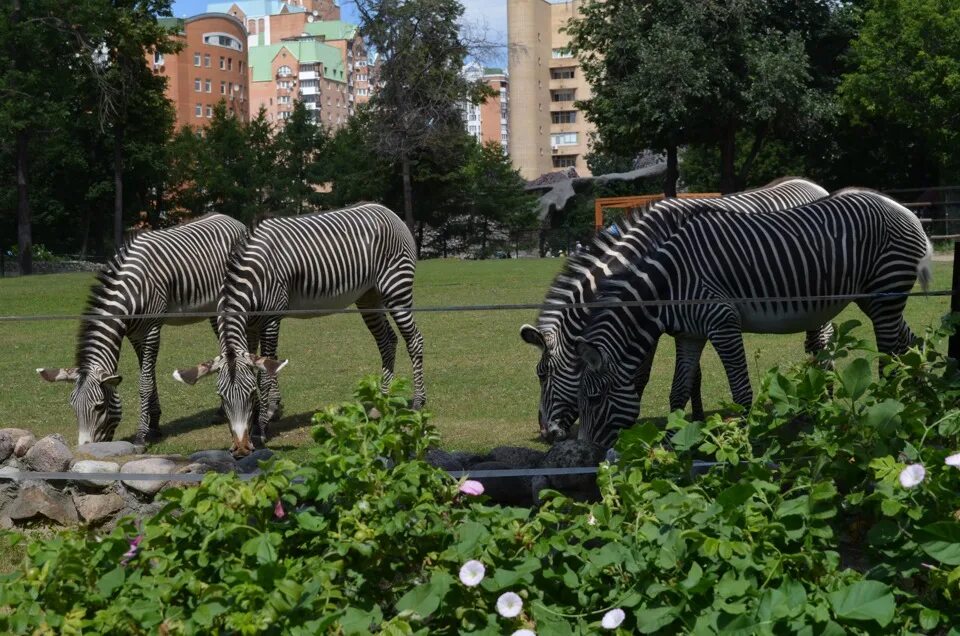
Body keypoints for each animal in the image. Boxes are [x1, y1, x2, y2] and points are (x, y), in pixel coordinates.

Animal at [37, 214, 248, 448]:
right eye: (73, 407)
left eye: (99, 407)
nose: (84, 450)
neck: (130, 292)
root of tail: (231, 219)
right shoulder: (136, 336)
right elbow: (151, 378)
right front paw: (154, 426)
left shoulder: (151, 331)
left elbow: (145, 383)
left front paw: (141, 436)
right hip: (211, 308)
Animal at [173, 201, 428, 454]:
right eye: (221, 396)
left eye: (250, 393)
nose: (242, 450)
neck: (252, 278)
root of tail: (387, 210)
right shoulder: (251, 327)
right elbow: (259, 366)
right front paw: (262, 417)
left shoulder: (271, 320)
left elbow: (265, 374)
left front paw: (260, 428)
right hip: (369, 296)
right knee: (387, 341)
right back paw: (380, 402)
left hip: (396, 288)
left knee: (414, 340)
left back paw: (418, 402)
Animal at [520, 175, 828, 442]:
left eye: (542, 373)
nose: (546, 433)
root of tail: (812, 184)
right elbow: (691, 376)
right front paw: (695, 418)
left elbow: (642, 375)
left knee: (820, 342)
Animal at [572, 189, 932, 448]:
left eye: (593, 398)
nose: (586, 454)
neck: (669, 284)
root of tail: (904, 209)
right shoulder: (690, 334)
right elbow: (678, 391)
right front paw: (673, 444)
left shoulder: (723, 322)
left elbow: (741, 392)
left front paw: (744, 442)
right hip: (875, 299)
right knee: (909, 345)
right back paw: (924, 400)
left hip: (885, 293)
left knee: (890, 357)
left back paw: (894, 409)